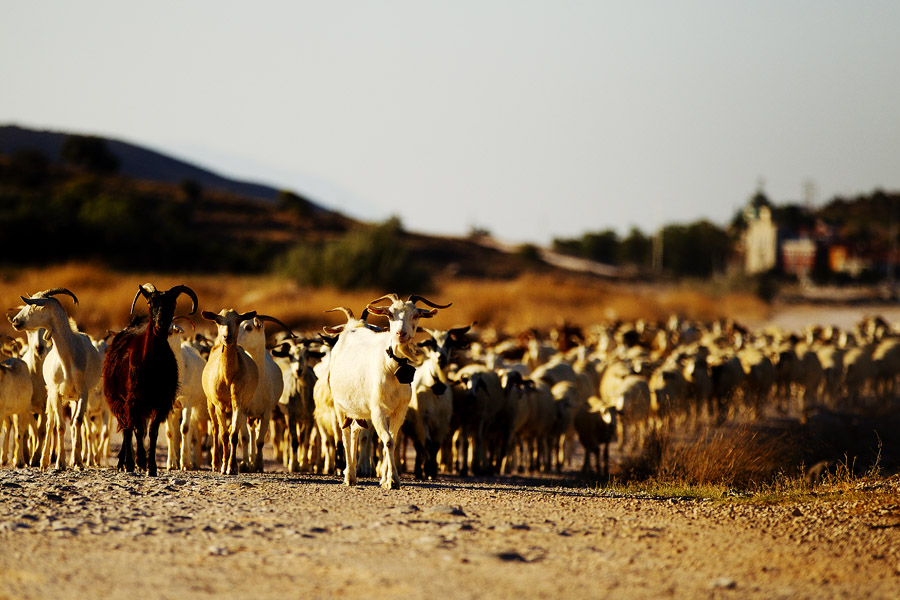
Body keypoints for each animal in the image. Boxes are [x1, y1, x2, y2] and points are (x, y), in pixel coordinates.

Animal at [9, 288, 102, 471]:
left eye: (34, 306)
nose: (16, 321)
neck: (68, 361)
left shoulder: (83, 393)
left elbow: (77, 422)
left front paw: (78, 462)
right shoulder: (56, 393)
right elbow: (59, 426)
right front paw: (60, 463)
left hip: (73, 399)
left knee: (73, 424)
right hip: (51, 396)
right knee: (50, 423)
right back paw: (43, 462)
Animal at [103, 283, 198, 476]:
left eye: (172, 303)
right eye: (150, 302)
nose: (161, 323)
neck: (152, 363)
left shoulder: (160, 401)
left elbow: (153, 431)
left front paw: (152, 467)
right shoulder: (134, 400)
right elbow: (138, 430)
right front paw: (139, 461)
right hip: (117, 400)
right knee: (127, 428)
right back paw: (126, 463)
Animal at [327, 294, 450, 489]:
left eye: (416, 315)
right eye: (390, 314)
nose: (401, 334)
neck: (392, 367)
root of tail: (352, 328)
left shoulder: (399, 411)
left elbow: (392, 440)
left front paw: (385, 479)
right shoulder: (377, 411)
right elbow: (388, 441)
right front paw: (392, 480)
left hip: (361, 410)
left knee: (355, 431)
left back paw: (354, 473)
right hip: (340, 405)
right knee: (345, 434)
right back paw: (349, 476)